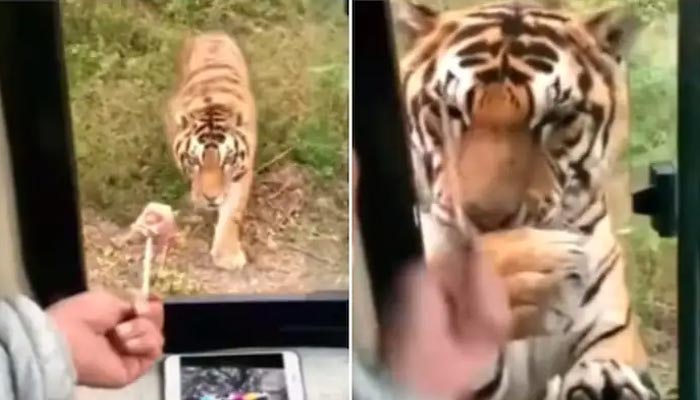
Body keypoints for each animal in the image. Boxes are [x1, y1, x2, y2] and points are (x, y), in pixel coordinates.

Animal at [165, 30, 258, 268]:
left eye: (227, 161)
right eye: (194, 161)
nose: (210, 198)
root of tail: (212, 33)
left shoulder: (242, 170)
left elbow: (232, 211)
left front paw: (227, 255)